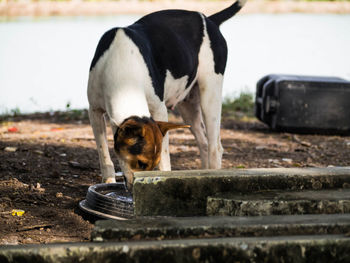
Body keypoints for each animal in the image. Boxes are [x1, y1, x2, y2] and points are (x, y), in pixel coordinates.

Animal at [87, 0, 246, 190]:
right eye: (141, 163)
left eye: (152, 164)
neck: (124, 80)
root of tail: (209, 19)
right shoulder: (94, 111)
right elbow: (102, 150)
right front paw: (109, 179)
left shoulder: (159, 111)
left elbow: (164, 156)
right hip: (188, 106)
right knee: (205, 144)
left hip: (210, 96)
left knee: (215, 147)